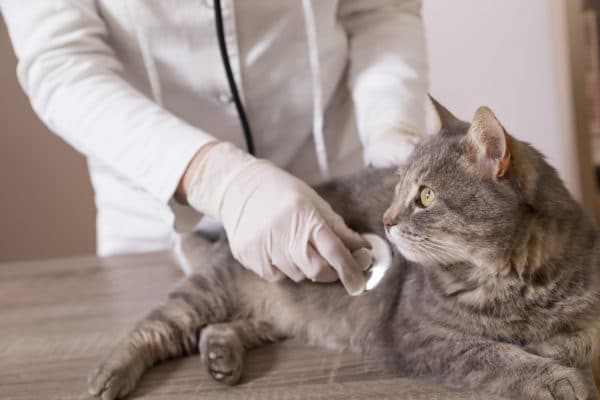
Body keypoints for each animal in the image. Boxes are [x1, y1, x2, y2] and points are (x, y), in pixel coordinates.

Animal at [86, 99, 600, 400]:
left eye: (425, 196)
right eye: (398, 189)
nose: (387, 221)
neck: (514, 283)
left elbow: (576, 338)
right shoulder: (421, 338)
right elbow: (501, 358)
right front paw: (560, 379)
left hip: (275, 315)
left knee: (219, 328)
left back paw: (220, 358)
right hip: (210, 290)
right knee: (154, 327)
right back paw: (107, 375)